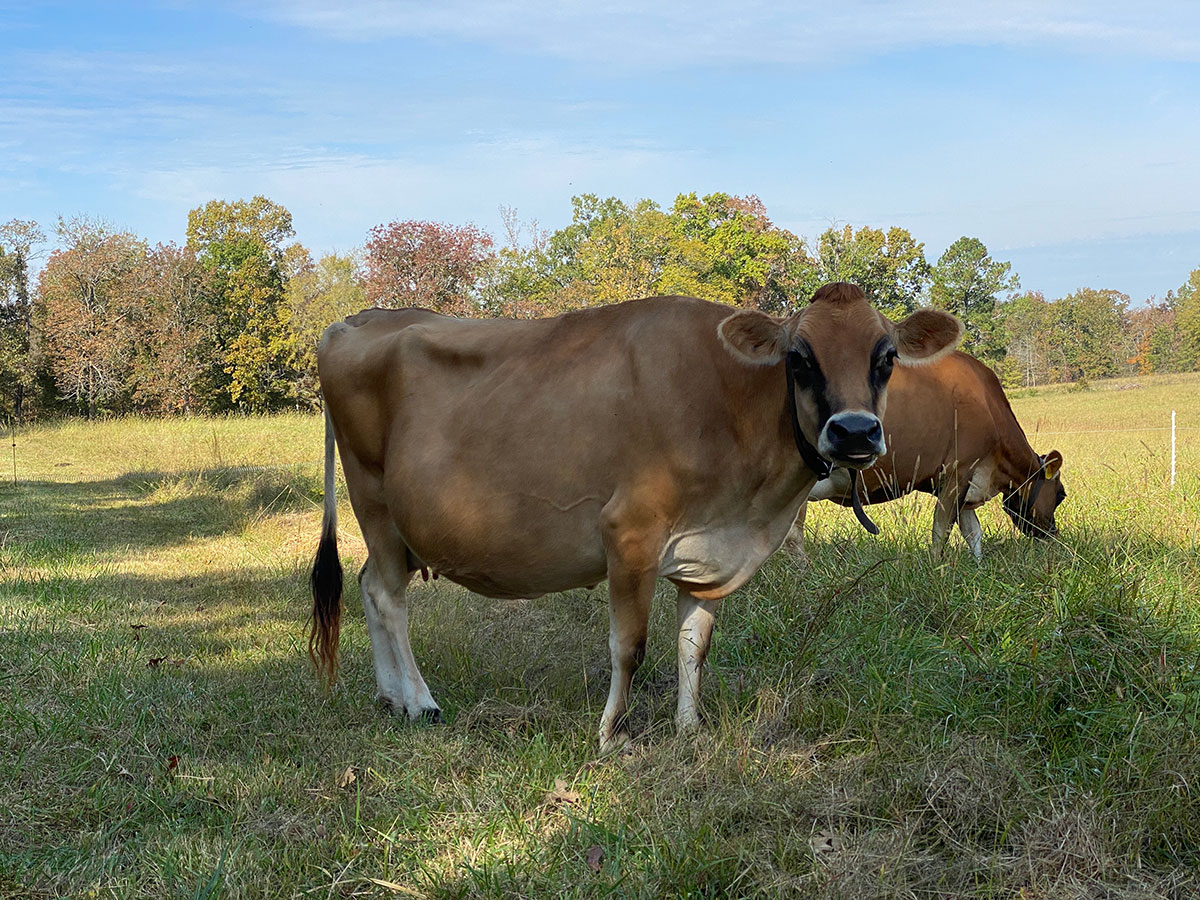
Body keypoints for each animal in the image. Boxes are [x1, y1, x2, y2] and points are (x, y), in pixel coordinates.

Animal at [309, 283, 963, 751]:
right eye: (800, 359)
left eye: (887, 357)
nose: (854, 431)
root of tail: (357, 319)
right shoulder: (629, 532)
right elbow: (630, 646)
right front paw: (607, 736)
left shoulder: (707, 552)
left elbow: (694, 645)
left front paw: (689, 728)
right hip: (375, 502)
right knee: (388, 597)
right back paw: (419, 701)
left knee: (368, 586)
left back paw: (390, 699)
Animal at [785, 350, 1066, 562]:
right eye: (1061, 495)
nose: (1053, 534)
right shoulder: (958, 472)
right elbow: (941, 530)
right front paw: (936, 568)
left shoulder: (968, 486)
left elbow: (973, 533)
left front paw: (978, 567)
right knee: (792, 536)